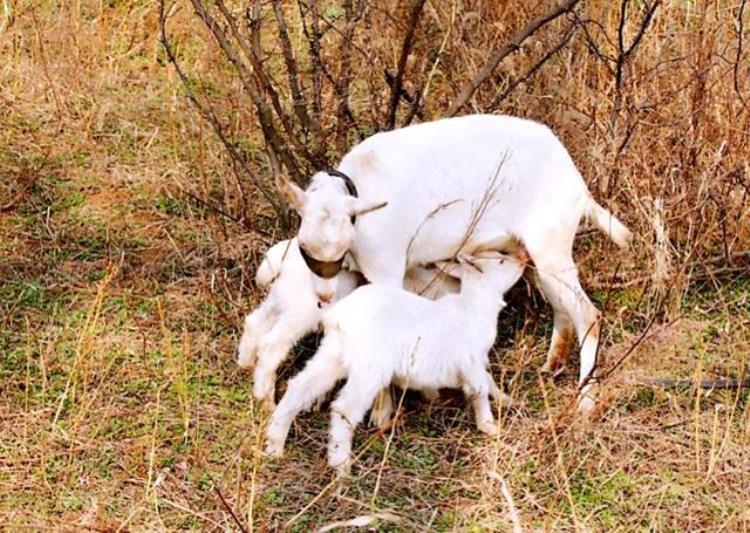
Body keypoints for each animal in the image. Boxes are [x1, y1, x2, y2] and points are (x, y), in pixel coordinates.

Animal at [280, 114, 632, 410]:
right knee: (561, 306)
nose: (322, 295)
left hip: (551, 246)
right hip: (533, 254)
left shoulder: (387, 269)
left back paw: (586, 399)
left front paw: (384, 412)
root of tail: (576, 182)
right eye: (304, 246)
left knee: (588, 314)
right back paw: (552, 364)